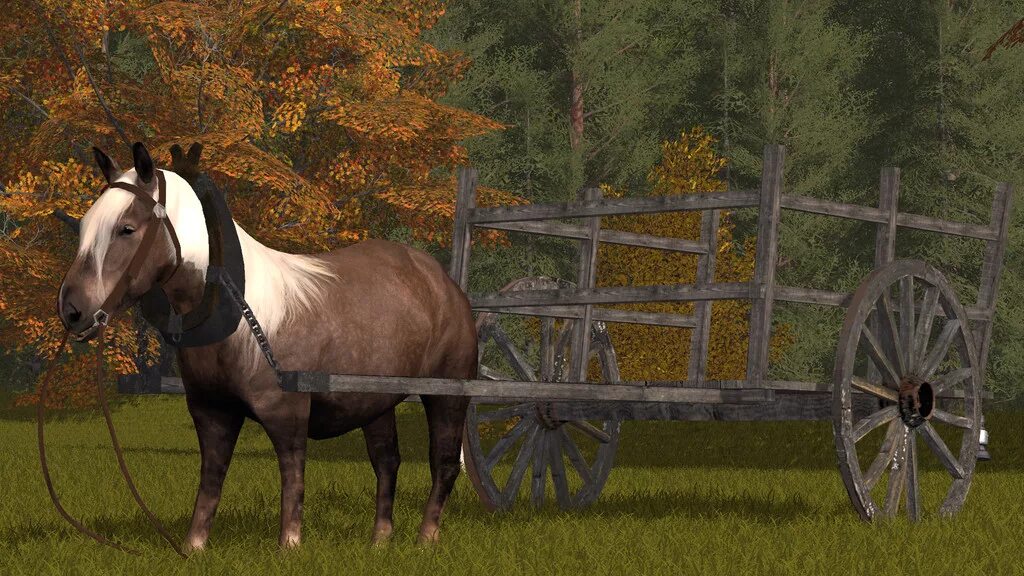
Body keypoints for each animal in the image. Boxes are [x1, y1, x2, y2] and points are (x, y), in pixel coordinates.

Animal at [56, 142, 478, 550]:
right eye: (84, 226)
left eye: (126, 229)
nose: (72, 310)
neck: (243, 320)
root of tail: (441, 280)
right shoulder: (212, 412)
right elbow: (211, 481)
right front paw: (194, 548)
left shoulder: (287, 414)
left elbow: (293, 479)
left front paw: (289, 547)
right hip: (375, 401)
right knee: (387, 461)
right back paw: (380, 542)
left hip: (448, 395)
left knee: (443, 463)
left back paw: (426, 540)